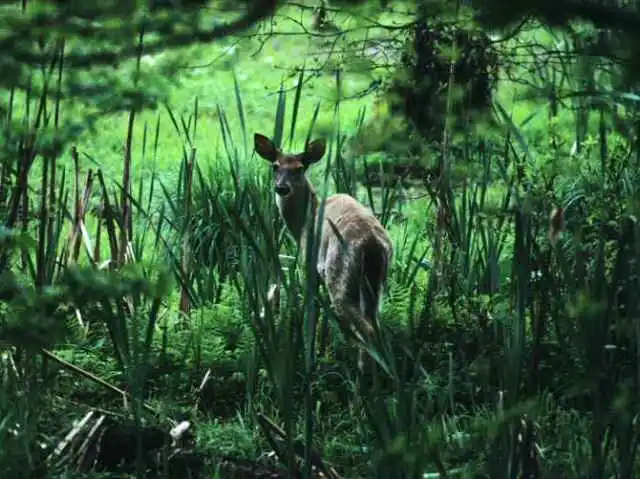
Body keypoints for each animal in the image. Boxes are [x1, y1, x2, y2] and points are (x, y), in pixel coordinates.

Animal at [254, 132, 392, 376]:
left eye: (300, 168)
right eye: (275, 166)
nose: (282, 188)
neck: (302, 222)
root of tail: (373, 244)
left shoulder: (308, 265)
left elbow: (312, 312)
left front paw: (312, 356)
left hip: (339, 275)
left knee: (366, 329)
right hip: (375, 282)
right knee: (376, 324)